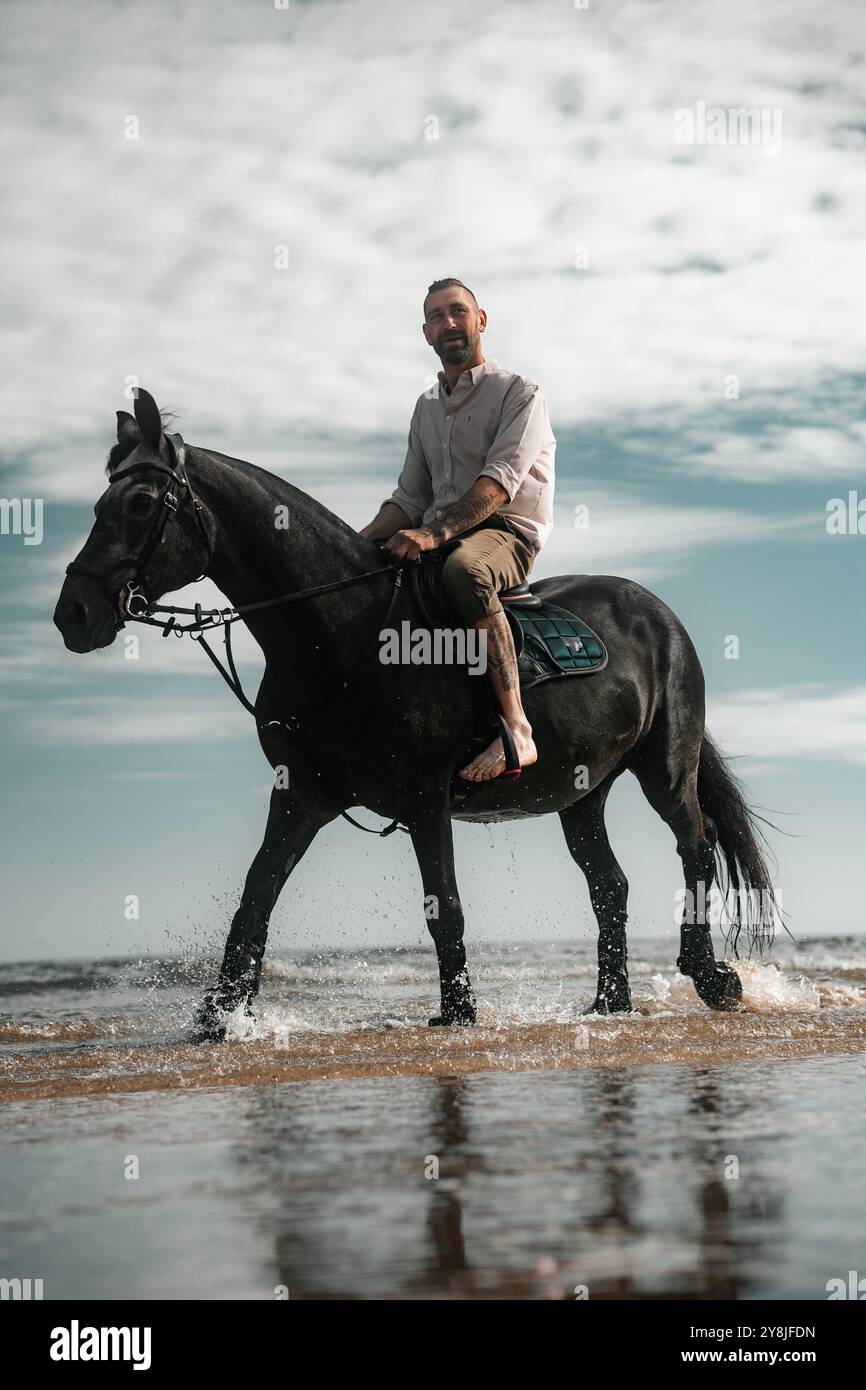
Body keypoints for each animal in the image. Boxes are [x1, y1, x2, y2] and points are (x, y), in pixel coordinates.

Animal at [54, 389, 778, 1040]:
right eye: (99, 505)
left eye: (140, 503)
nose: (72, 614)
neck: (341, 632)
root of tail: (656, 612)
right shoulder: (301, 796)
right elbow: (256, 897)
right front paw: (219, 1018)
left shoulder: (426, 797)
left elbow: (444, 908)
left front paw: (458, 1016)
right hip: (582, 794)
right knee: (610, 886)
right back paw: (610, 1005)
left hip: (665, 768)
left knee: (695, 844)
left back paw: (712, 978)